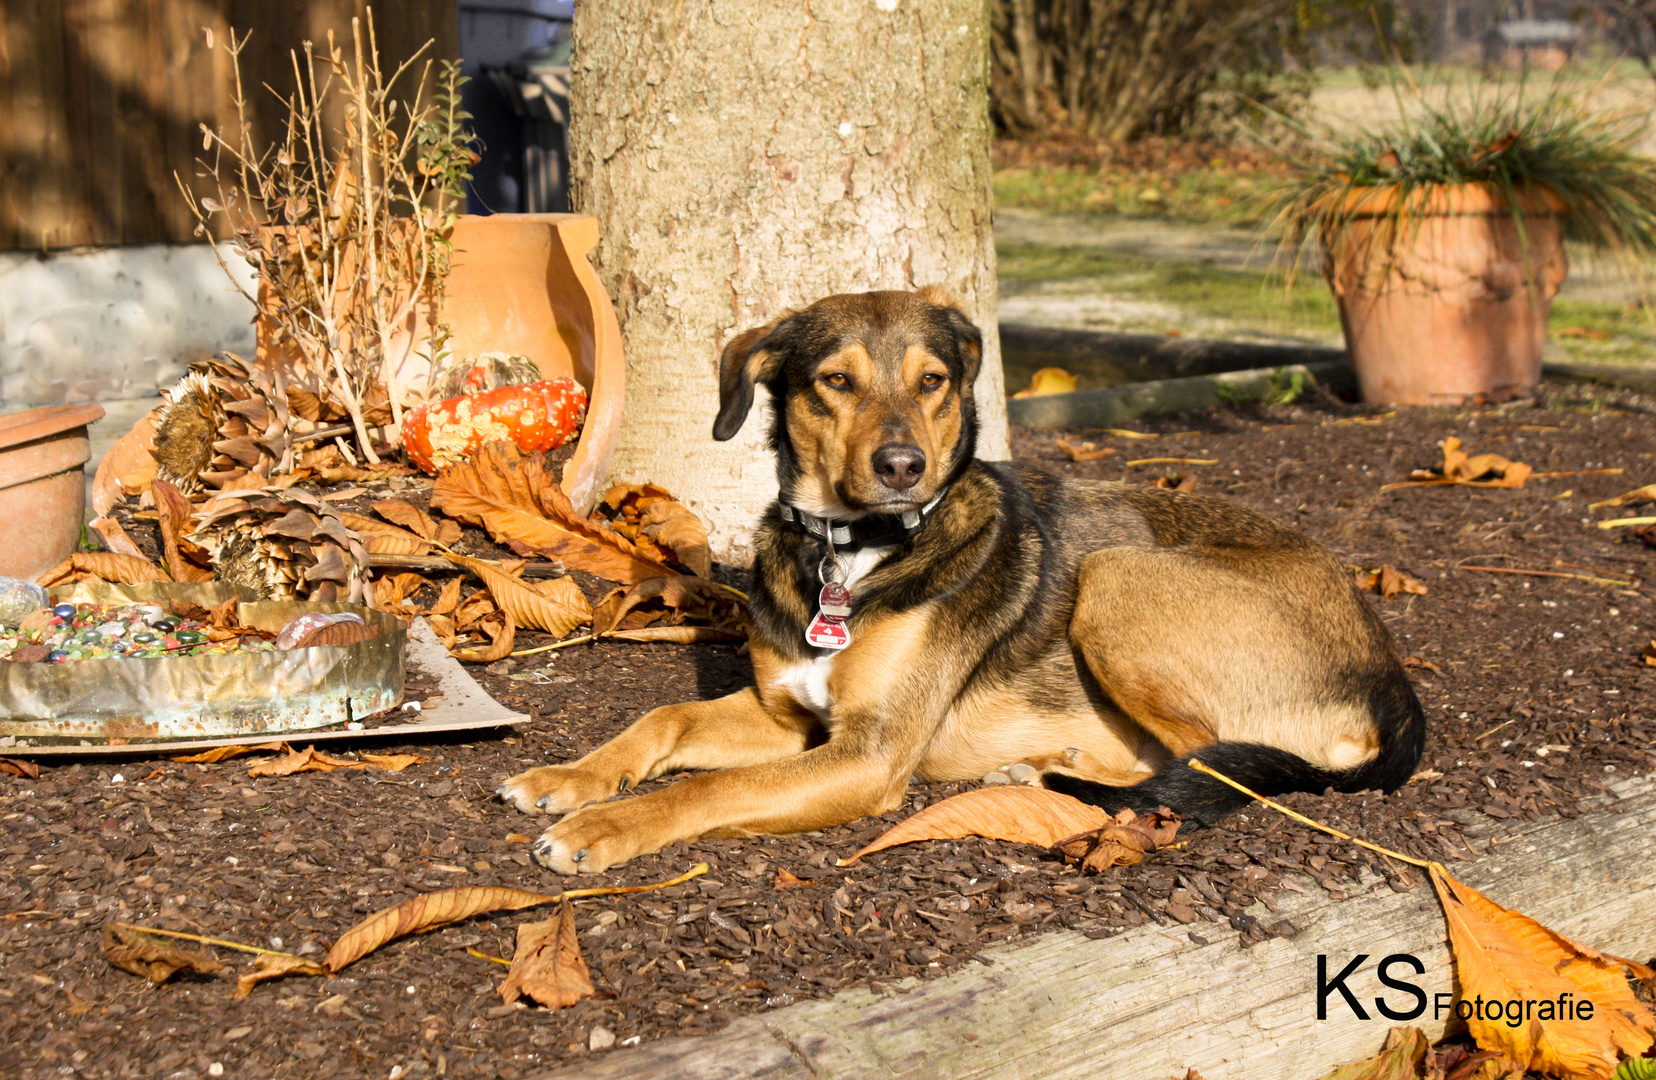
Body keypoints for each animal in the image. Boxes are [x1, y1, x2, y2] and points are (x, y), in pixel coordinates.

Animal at [496, 288, 1430, 874]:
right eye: (835, 380)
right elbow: (663, 720)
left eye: (933, 381)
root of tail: (1390, 673)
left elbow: (714, 786)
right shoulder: (785, 716)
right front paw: (567, 778)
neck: (853, 554)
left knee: (1212, 771)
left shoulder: (869, 756)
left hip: (1118, 577)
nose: (903, 466)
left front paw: (605, 824)